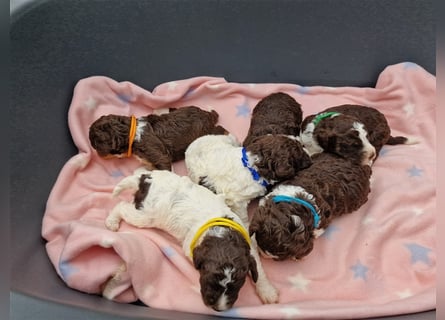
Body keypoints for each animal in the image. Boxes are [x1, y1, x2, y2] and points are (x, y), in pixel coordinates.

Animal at [88, 106, 225, 170]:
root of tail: (208, 115)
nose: (97, 155)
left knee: (221, 129)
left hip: (206, 132)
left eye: (95, 145)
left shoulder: (159, 156)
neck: (133, 133)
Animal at [104, 169, 278, 312]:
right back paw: (112, 222)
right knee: (121, 206)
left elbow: (258, 269)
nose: (218, 308)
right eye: (209, 280)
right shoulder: (191, 247)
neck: (220, 234)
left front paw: (268, 291)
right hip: (145, 216)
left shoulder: (248, 244)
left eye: (236, 285)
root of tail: (146, 181)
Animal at [182, 132, 310, 220]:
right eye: (299, 152)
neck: (253, 166)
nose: (310, 156)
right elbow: (243, 216)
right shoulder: (238, 202)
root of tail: (189, 147)